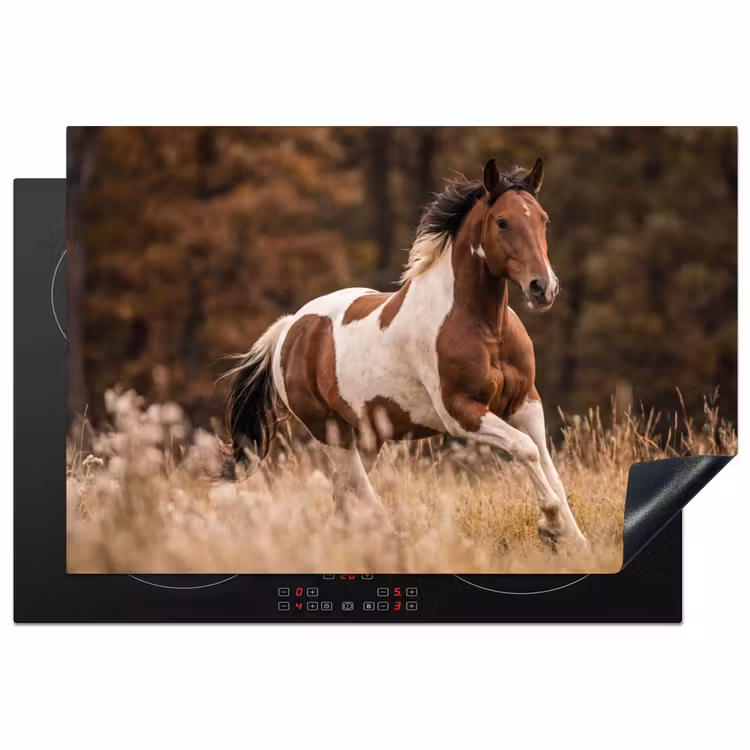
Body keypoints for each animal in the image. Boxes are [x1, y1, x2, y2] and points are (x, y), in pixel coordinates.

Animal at [225, 157, 586, 546]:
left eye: (543, 219)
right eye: (502, 221)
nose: (542, 288)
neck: (486, 328)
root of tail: (290, 327)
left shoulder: (525, 402)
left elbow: (548, 467)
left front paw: (576, 541)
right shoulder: (460, 412)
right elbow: (525, 449)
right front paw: (550, 524)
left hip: (367, 436)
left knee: (344, 490)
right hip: (330, 431)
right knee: (360, 491)